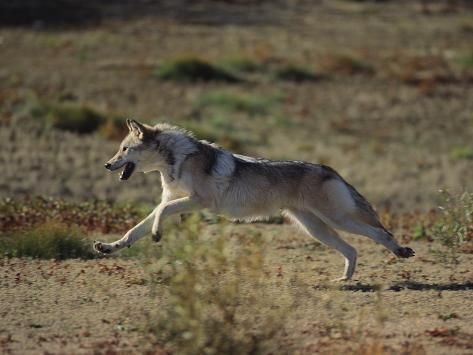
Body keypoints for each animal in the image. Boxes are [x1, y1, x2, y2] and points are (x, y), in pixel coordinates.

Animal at [95, 119, 412, 280]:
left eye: (124, 149)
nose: (107, 165)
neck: (176, 162)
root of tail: (329, 168)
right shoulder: (178, 201)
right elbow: (135, 229)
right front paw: (109, 247)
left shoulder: (198, 201)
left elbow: (161, 212)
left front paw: (157, 234)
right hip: (317, 229)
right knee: (352, 250)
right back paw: (344, 280)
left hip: (338, 219)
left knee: (380, 232)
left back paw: (401, 251)